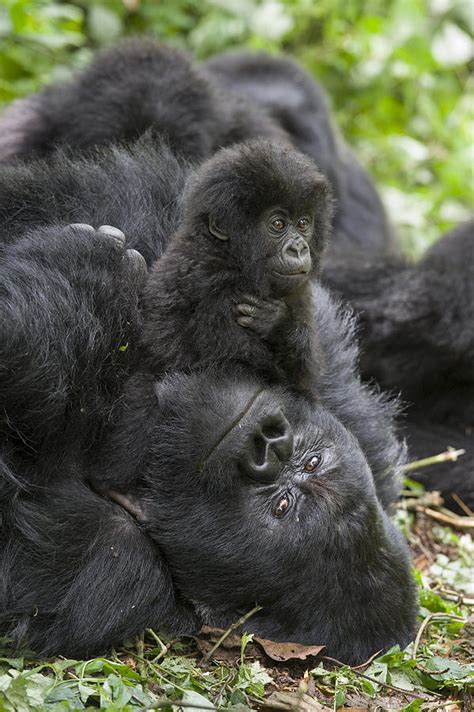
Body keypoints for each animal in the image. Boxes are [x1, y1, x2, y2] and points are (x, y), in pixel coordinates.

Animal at [143, 140, 332, 394]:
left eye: (303, 223)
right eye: (278, 224)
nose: (299, 248)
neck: (231, 255)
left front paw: (278, 324)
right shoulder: (216, 284)